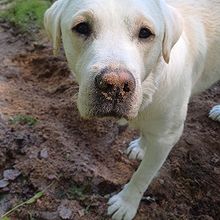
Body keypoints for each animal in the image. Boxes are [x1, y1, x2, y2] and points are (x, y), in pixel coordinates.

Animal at [43, 0, 219, 219]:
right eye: (82, 27)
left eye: (145, 33)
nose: (115, 85)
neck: (150, 86)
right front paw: (141, 146)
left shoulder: (166, 138)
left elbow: (142, 176)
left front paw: (126, 203)